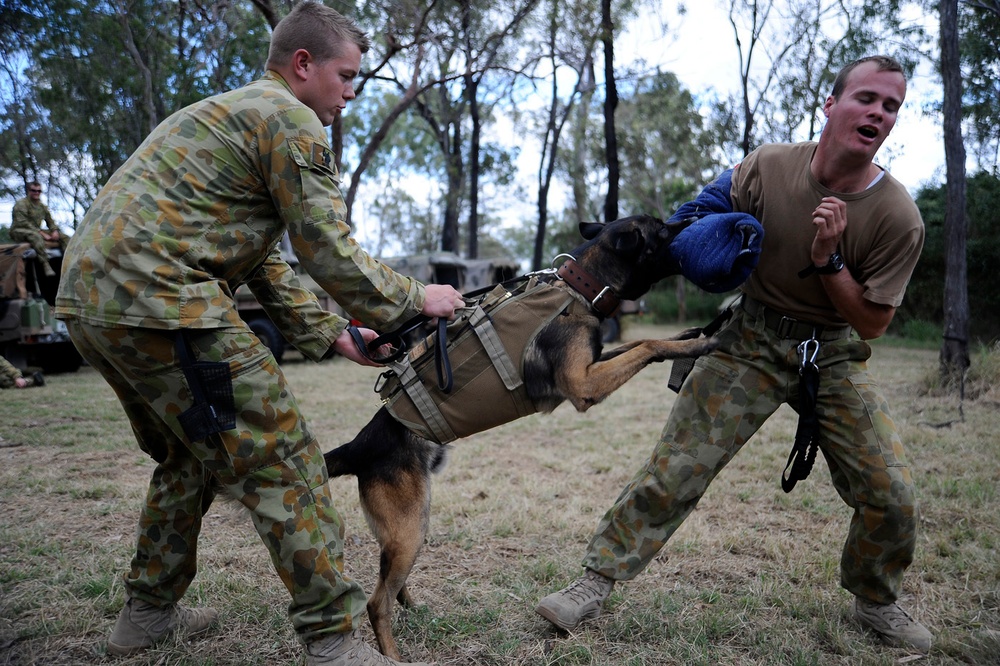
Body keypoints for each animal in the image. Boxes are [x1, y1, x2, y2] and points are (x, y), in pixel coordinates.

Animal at [330, 214, 728, 660]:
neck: (580, 289)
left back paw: (413, 606)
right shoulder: (583, 384)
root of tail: (360, 445)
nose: (692, 217)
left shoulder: (594, 363)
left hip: (411, 525)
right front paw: (700, 341)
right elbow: (647, 344)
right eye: (660, 229)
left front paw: (693, 333)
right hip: (409, 528)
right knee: (376, 602)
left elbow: (641, 341)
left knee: (391, 584)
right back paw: (393, 654)